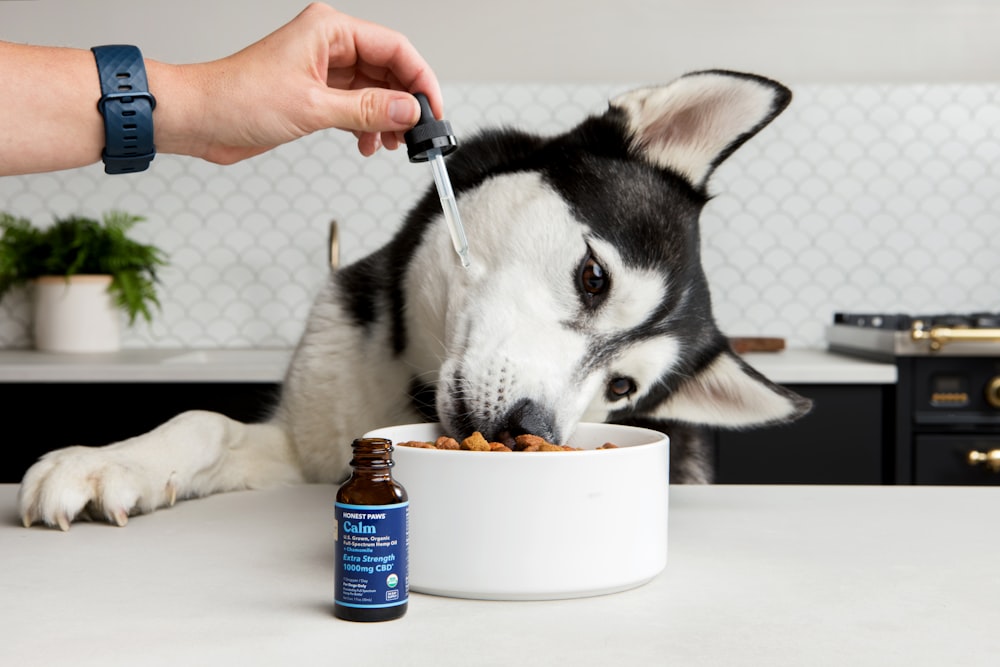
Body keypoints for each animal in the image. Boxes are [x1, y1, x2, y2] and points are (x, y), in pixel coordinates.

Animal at [17, 72, 812, 532]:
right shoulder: (302, 447)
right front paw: (109, 462)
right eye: (594, 277)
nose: (533, 430)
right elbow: (200, 419)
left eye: (621, 389)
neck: (407, 381)